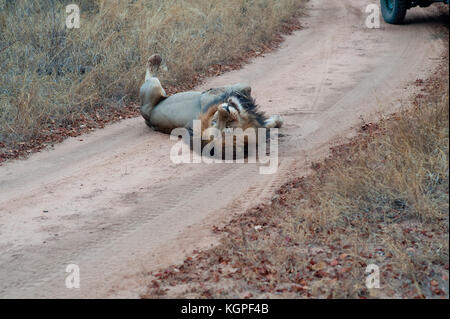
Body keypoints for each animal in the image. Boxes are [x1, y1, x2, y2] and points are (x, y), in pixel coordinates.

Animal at [139, 53, 284, 155]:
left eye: (229, 124)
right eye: (218, 122)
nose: (225, 108)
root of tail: (147, 118)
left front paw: (275, 120)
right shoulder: (212, 95)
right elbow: (243, 89)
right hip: (153, 86)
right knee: (150, 76)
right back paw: (155, 59)